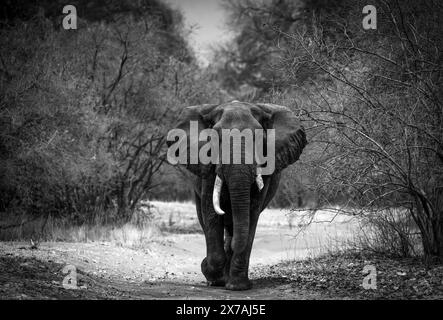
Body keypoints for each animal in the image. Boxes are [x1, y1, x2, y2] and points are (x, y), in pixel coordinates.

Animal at [168, 100, 306, 290]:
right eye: (216, 138)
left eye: (259, 138)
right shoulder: (208, 167)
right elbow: (211, 213)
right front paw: (212, 275)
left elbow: (251, 213)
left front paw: (238, 287)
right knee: (205, 219)